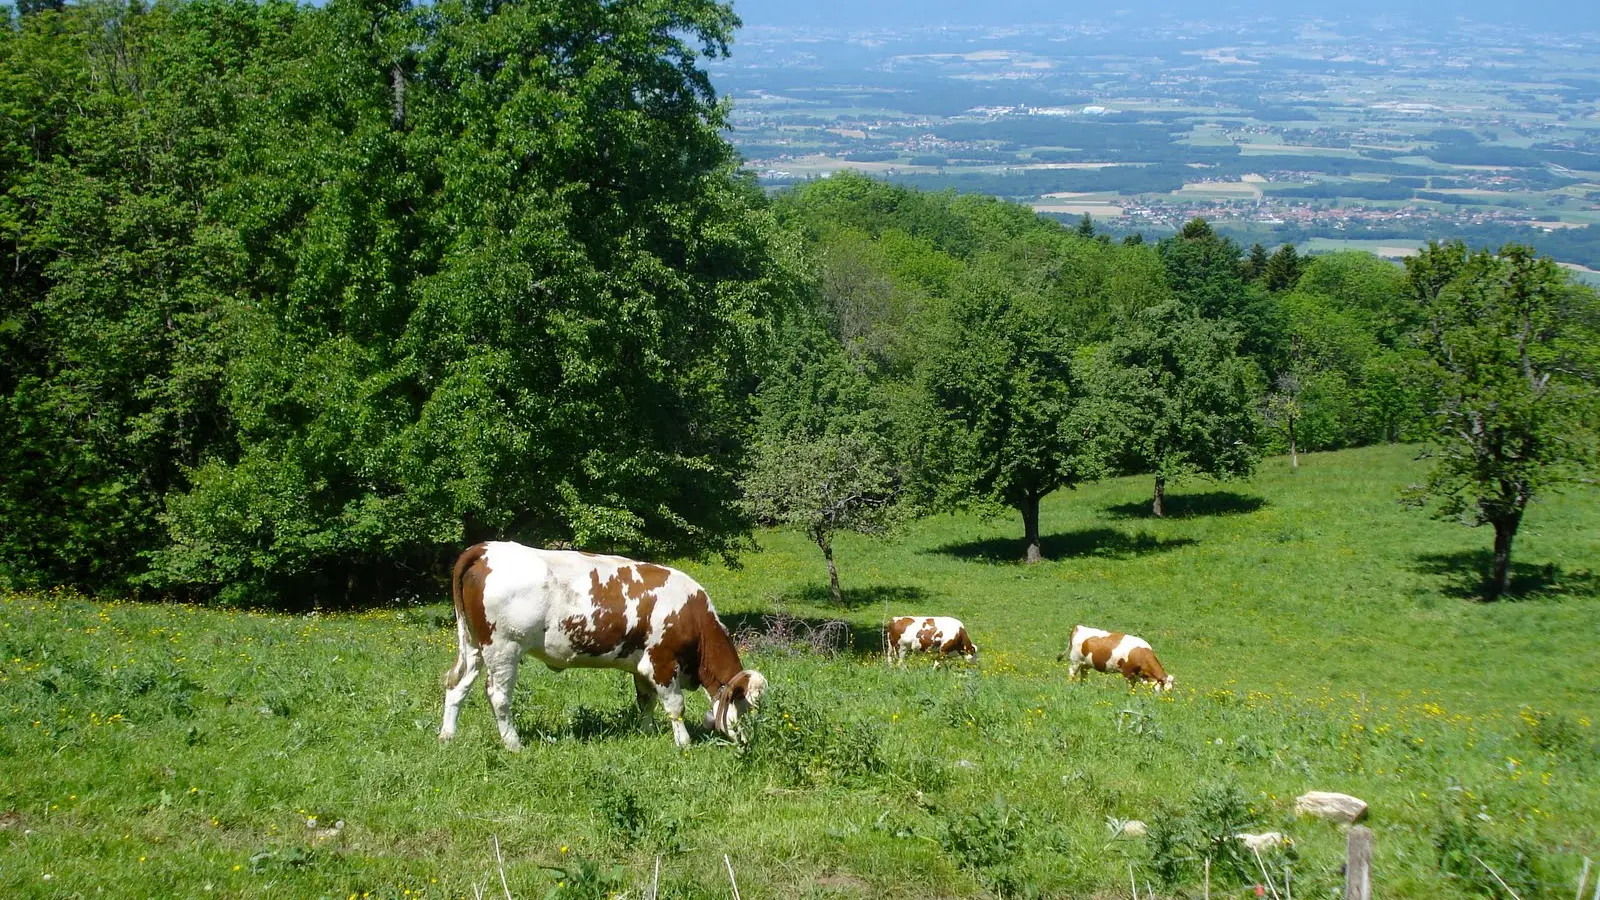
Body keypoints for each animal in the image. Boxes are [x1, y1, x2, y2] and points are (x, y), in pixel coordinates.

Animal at [435, 534, 764, 746]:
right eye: (746, 707)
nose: (748, 742)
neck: (692, 613)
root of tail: (487, 549)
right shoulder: (662, 661)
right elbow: (675, 706)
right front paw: (683, 744)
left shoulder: (641, 666)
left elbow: (646, 702)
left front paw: (647, 733)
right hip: (504, 648)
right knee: (498, 695)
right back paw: (513, 743)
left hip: (474, 646)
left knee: (457, 684)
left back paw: (447, 736)